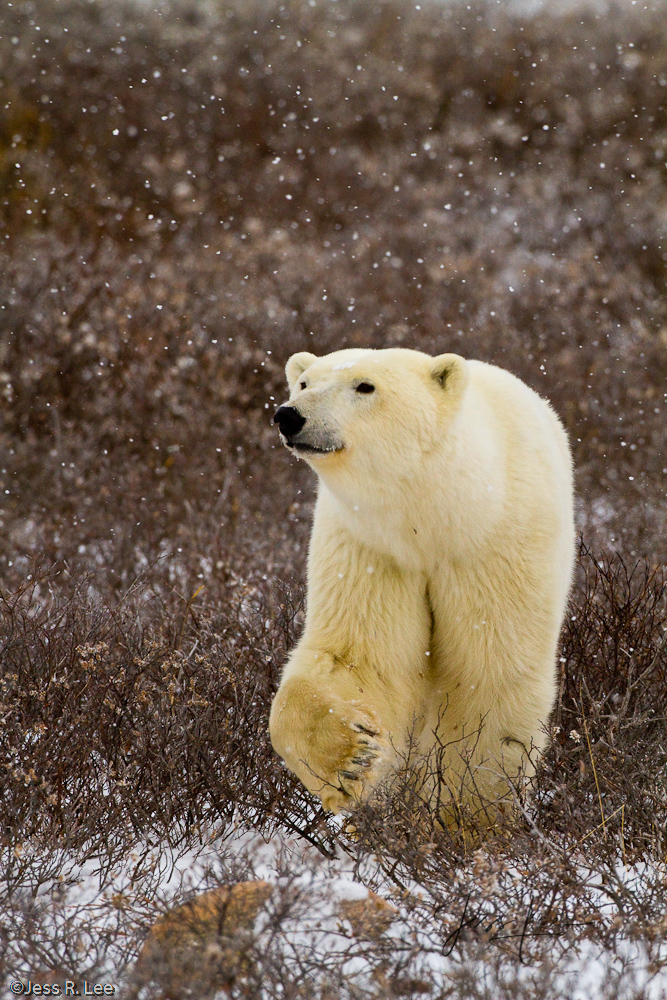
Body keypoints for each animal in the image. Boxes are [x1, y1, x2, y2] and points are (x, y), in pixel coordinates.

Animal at [268, 348, 576, 824]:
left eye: (365, 386)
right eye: (304, 384)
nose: (289, 415)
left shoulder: (493, 546)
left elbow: (487, 674)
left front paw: (468, 814)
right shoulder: (372, 547)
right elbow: (358, 658)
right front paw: (350, 760)